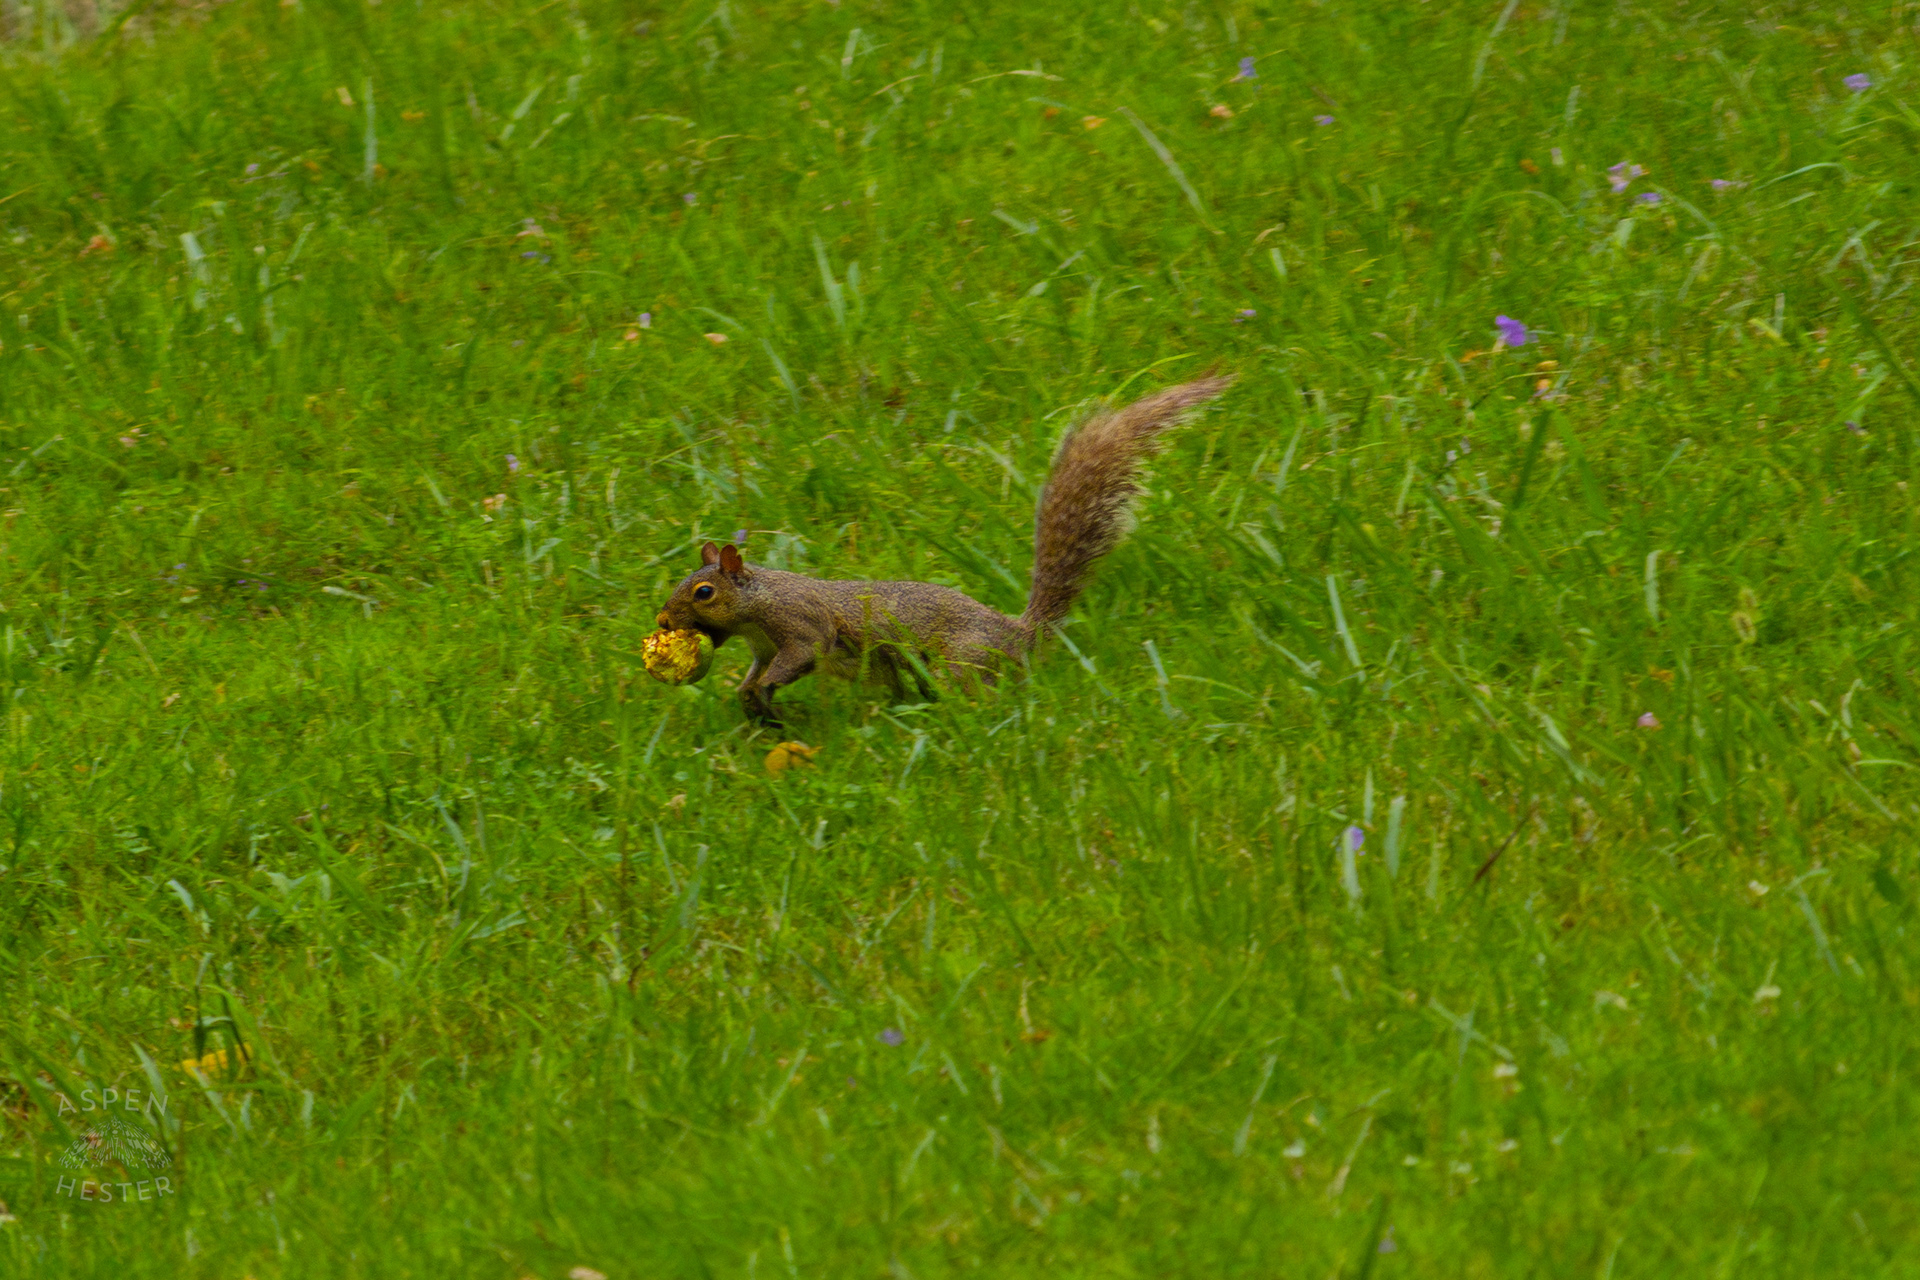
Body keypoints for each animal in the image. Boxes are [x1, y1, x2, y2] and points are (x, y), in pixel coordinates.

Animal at [655, 374, 1232, 725]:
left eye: (703, 592)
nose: (662, 621)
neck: (758, 600)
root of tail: (1018, 635)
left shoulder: (798, 623)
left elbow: (803, 652)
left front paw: (767, 691)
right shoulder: (760, 644)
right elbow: (755, 673)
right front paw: (748, 697)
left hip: (960, 661)